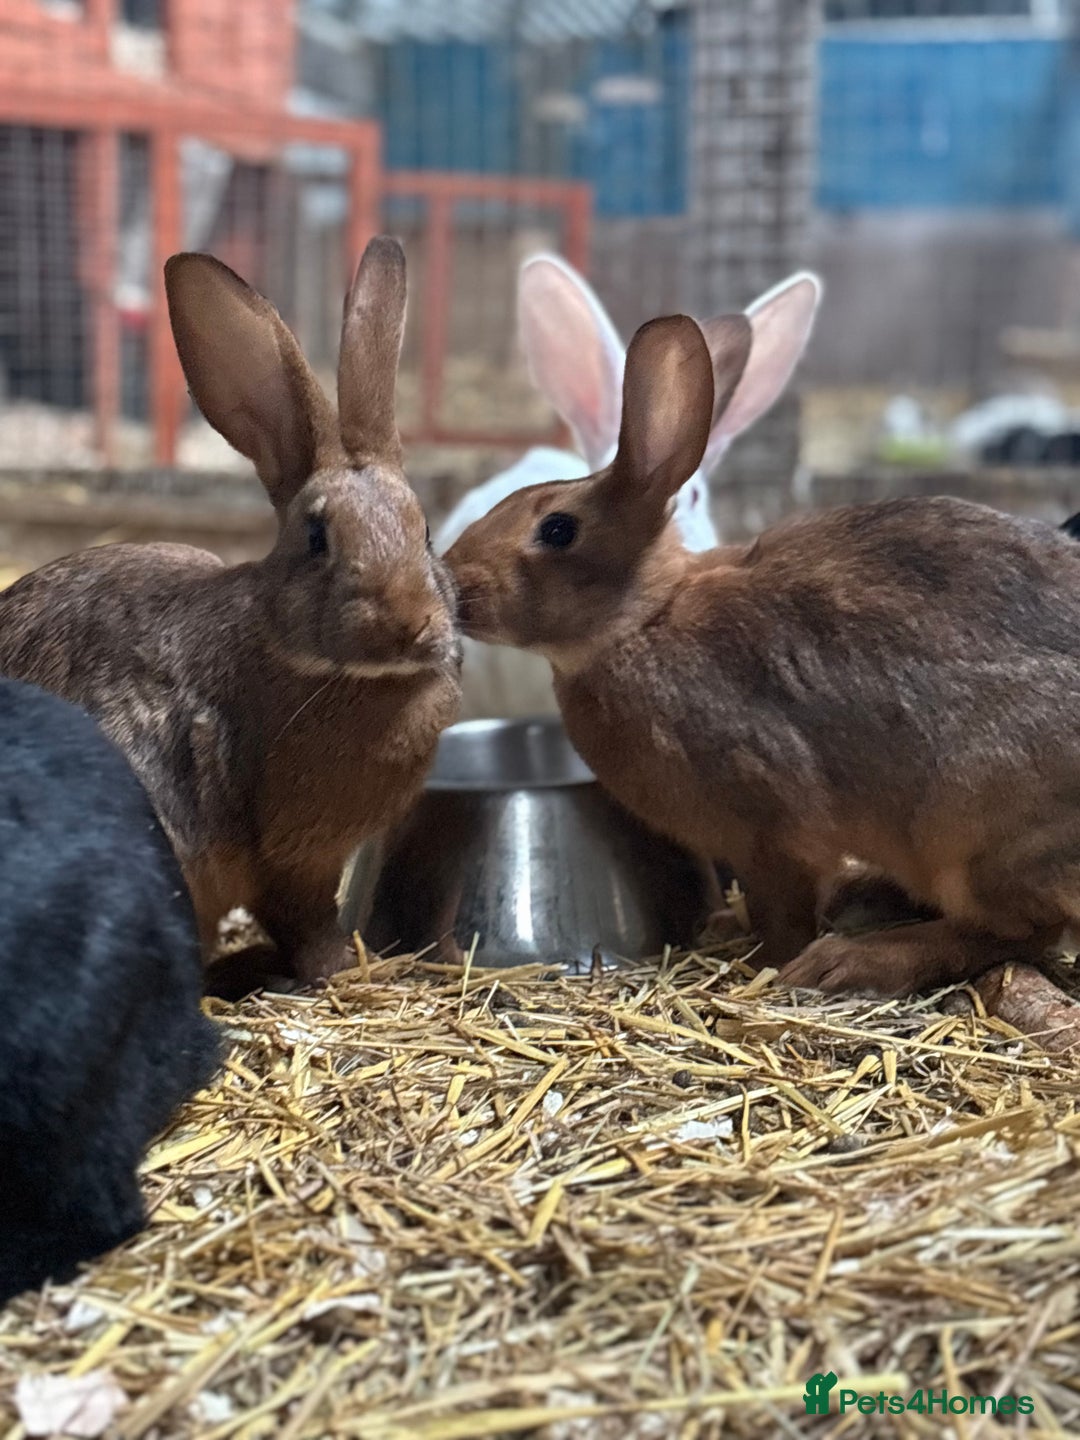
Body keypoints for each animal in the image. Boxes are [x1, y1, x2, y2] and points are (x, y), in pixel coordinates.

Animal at [0, 237, 461, 996]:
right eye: (317, 538)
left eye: (424, 531)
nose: (413, 624)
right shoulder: (291, 855)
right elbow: (305, 924)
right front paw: (344, 970)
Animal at [446, 309, 1080, 999]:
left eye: (557, 529)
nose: (451, 581)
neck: (645, 619)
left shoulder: (770, 830)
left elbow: (784, 911)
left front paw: (765, 961)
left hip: (971, 841)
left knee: (1020, 931)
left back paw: (854, 959)